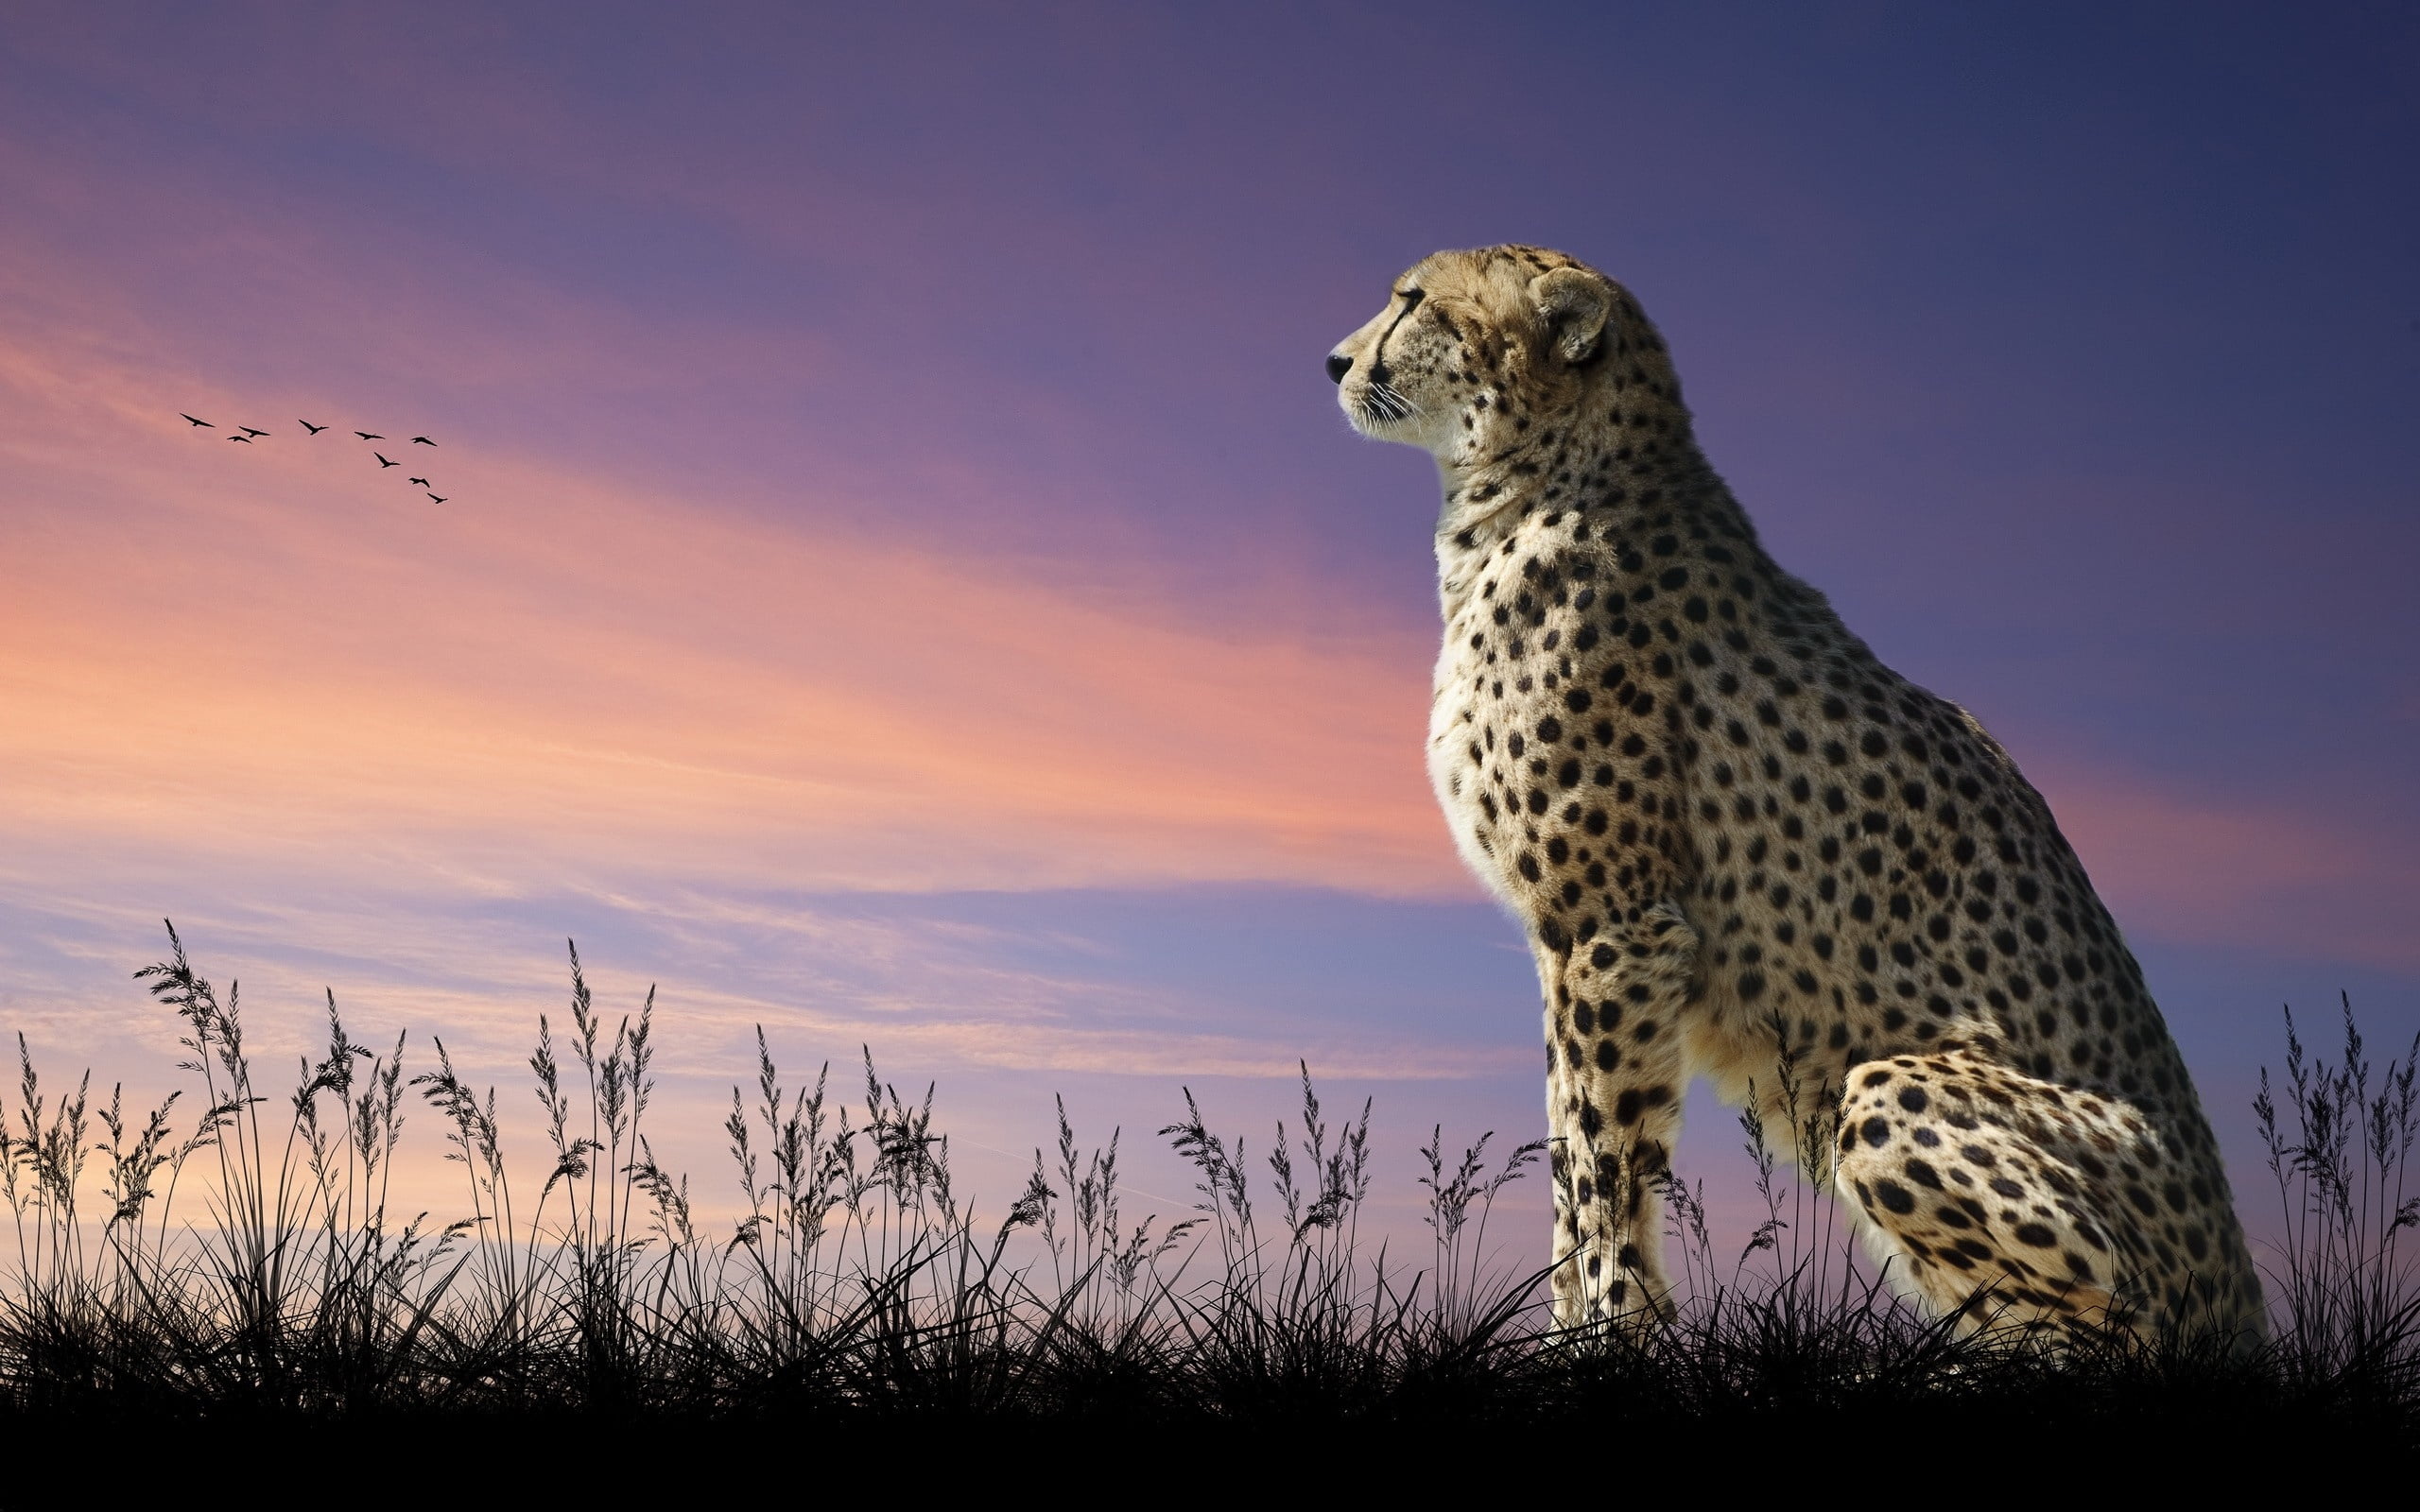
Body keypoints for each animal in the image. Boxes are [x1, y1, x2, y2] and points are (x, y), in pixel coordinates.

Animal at [1326, 244, 2264, 1345]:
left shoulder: (1612, 924)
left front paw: (1601, 1337)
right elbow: (1576, 1158)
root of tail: (2240, 1291)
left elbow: (1601, 1165)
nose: (1334, 361)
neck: (1526, 485)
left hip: (1891, 1092)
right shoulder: (1586, 940)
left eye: (1412, 301)